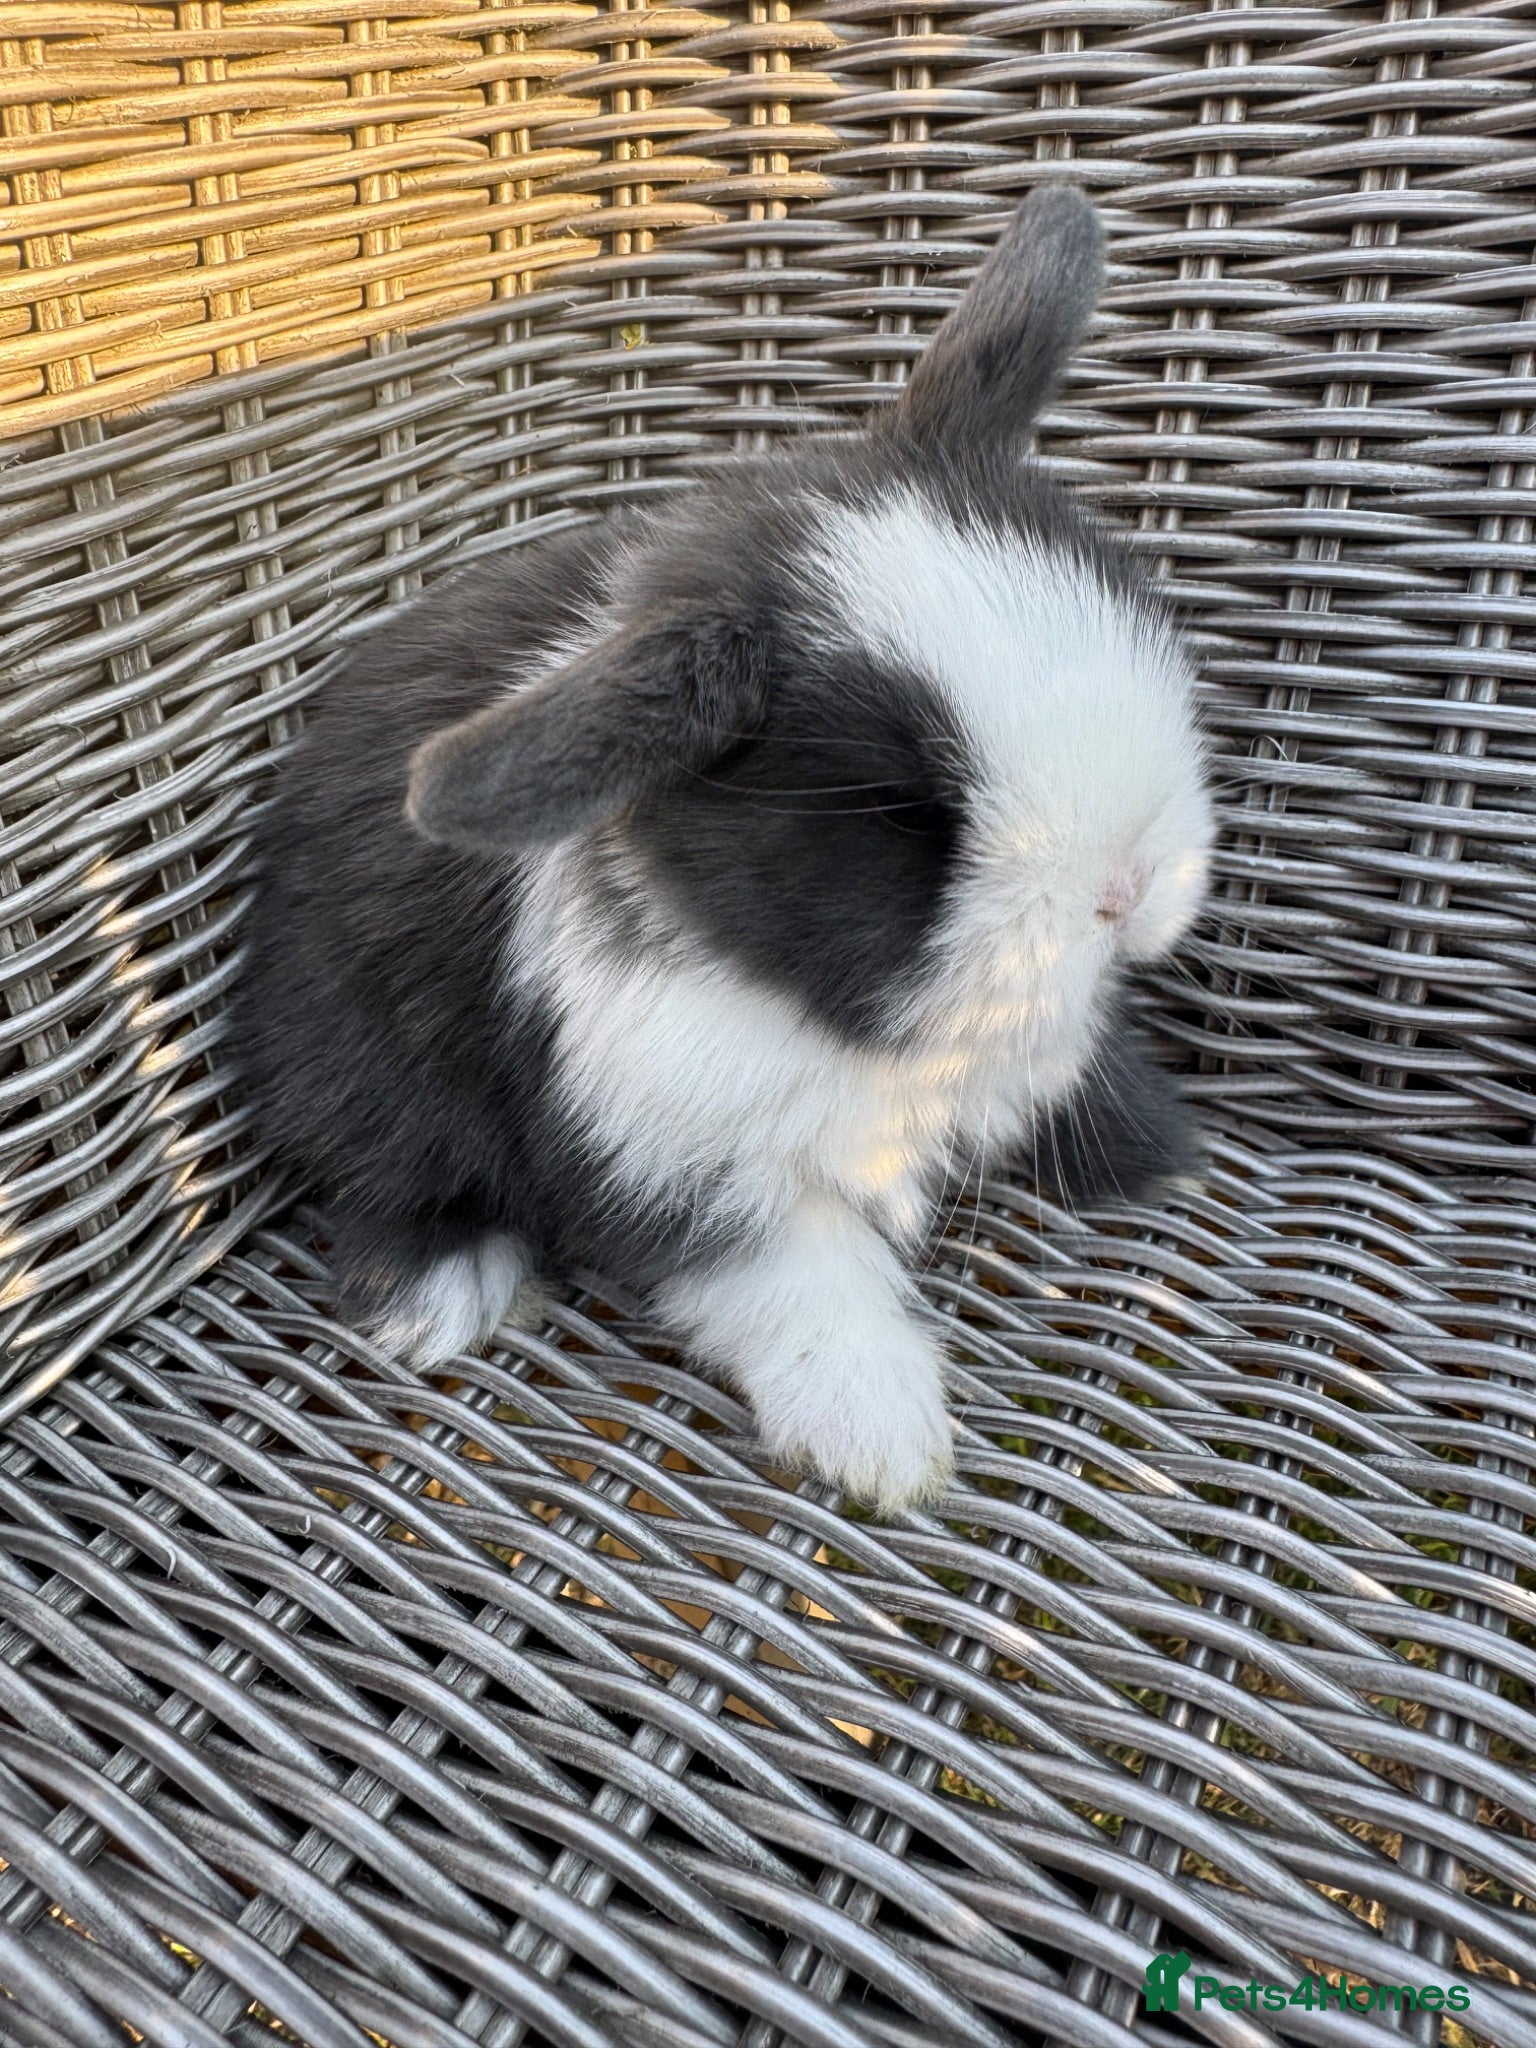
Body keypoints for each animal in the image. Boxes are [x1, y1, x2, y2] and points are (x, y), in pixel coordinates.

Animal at [239, 185, 1213, 1514]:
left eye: (1126, 610)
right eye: (905, 811)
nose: (1127, 889)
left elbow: (1085, 1082)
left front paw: (1167, 1158)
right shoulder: (668, 1154)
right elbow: (798, 1283)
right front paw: (883, 1440)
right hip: (355, 1061)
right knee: (377, 1162)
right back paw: (434, 1293)